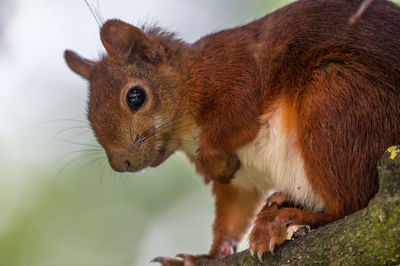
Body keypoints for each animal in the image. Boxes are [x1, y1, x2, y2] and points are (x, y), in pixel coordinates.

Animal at [64, 0, 400, 264]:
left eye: (136, 97)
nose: (122, 164)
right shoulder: (243, 179)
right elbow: (232, 211)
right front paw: (207, 256)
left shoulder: (238, 75)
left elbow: (235, 120)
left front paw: (214, 162)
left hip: (338, 96)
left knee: (352, 203)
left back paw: (289, 217)